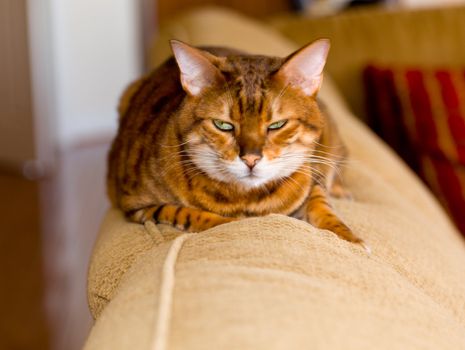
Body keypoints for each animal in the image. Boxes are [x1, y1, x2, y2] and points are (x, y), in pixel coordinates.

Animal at [107, 38, 368, 252]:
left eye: (277, 124)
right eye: (223, 125)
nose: (250, 159)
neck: (248, 199)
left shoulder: (308, 178)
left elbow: (320, 204)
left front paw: (349, 237)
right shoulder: (138, 205)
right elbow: (186, 212)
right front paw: (228, 222)